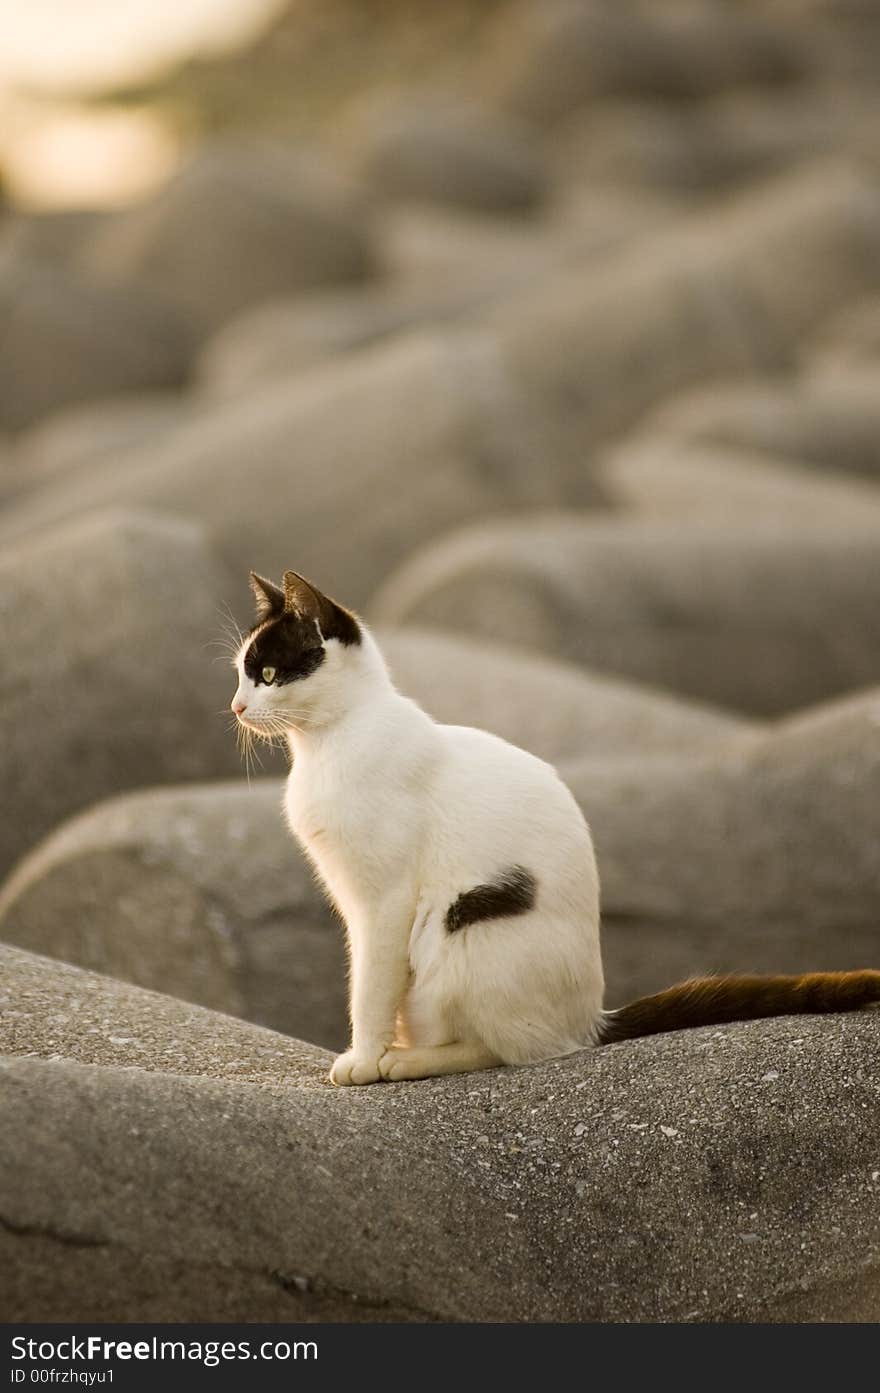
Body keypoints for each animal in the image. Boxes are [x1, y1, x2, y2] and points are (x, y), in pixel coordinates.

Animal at [228, 568, 880, 1086]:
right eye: (239, 674)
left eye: (268, 673)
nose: (235, 706)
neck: (332, 741)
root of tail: (591, 1019)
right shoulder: (351, 902)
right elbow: (369, 984)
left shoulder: (384, 902)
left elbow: (369, 988)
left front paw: (363, 1059)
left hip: (459, 925)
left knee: (512, 1050)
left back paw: (408, 1061)